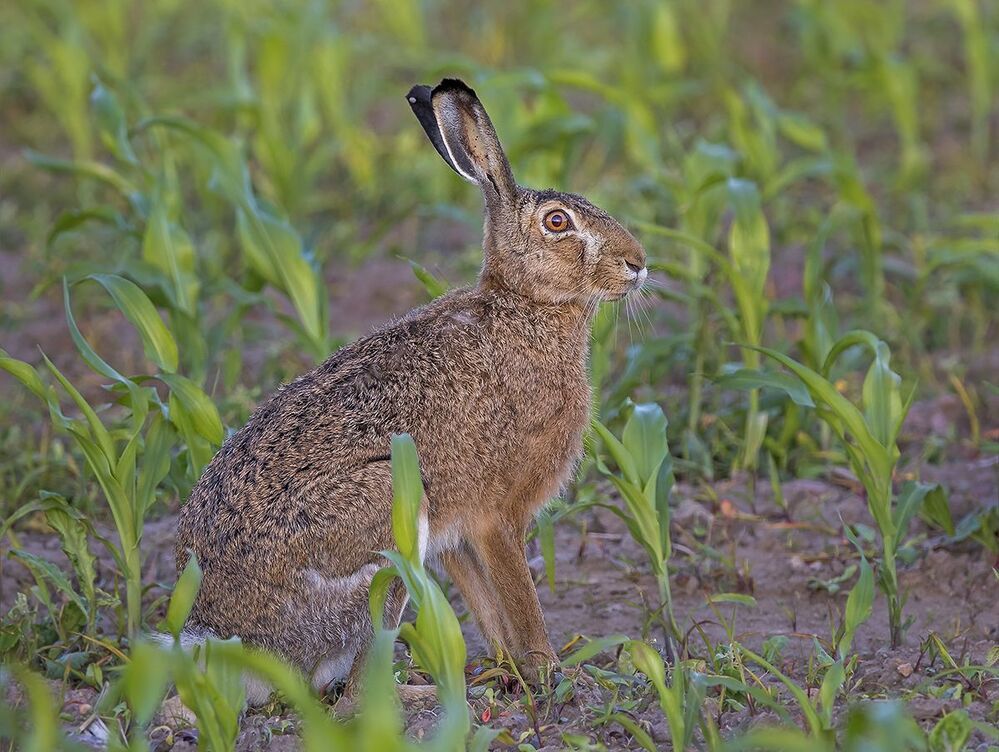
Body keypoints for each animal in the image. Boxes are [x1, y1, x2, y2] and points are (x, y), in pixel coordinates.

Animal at [172, 77, 648, 707]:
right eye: (556, 223)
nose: (638, 264)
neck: (524, 308)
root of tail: (227, 643)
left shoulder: (455, 535)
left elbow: (488, 607)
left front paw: (509, 671)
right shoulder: (498, 515)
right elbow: (519, 600)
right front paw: (548, 673)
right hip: (387, 524)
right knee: (354, 695)